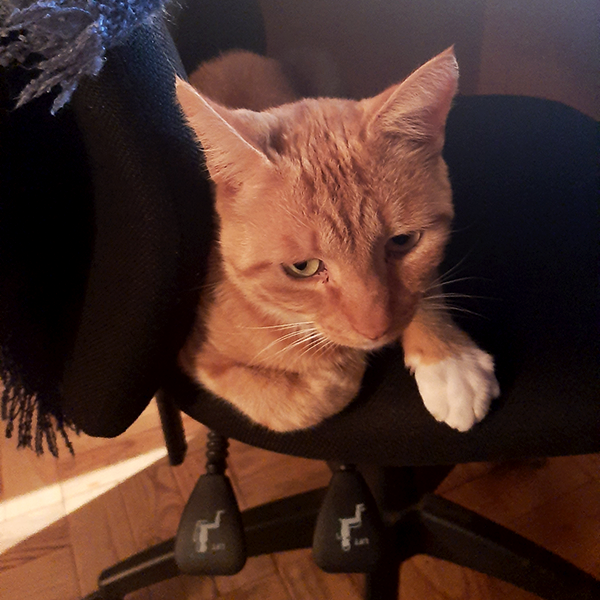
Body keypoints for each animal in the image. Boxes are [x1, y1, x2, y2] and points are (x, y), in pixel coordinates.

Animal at [176, 47, 500, 432]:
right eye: (303, 267)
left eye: (403, 241)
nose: (375, 331)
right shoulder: (197, 356)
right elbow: (307, 401)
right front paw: (343, 367)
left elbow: (422, 289)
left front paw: (449, 356)